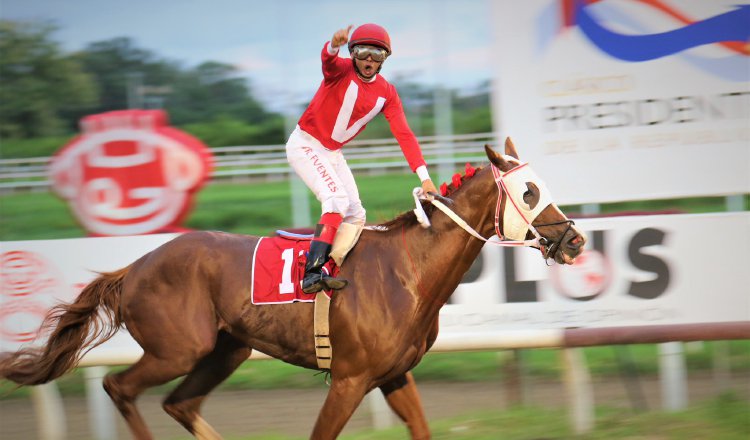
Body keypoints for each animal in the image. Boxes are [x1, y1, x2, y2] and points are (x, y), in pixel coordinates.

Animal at [0, 140, 588, 436]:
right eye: (529, 191)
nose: (576, 240)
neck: (409, 271)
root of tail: (134, 267)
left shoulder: (394, 376)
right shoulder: (349, 379)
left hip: (225, 350)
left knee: (180, 404)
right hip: (177, 349)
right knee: (119, 387)